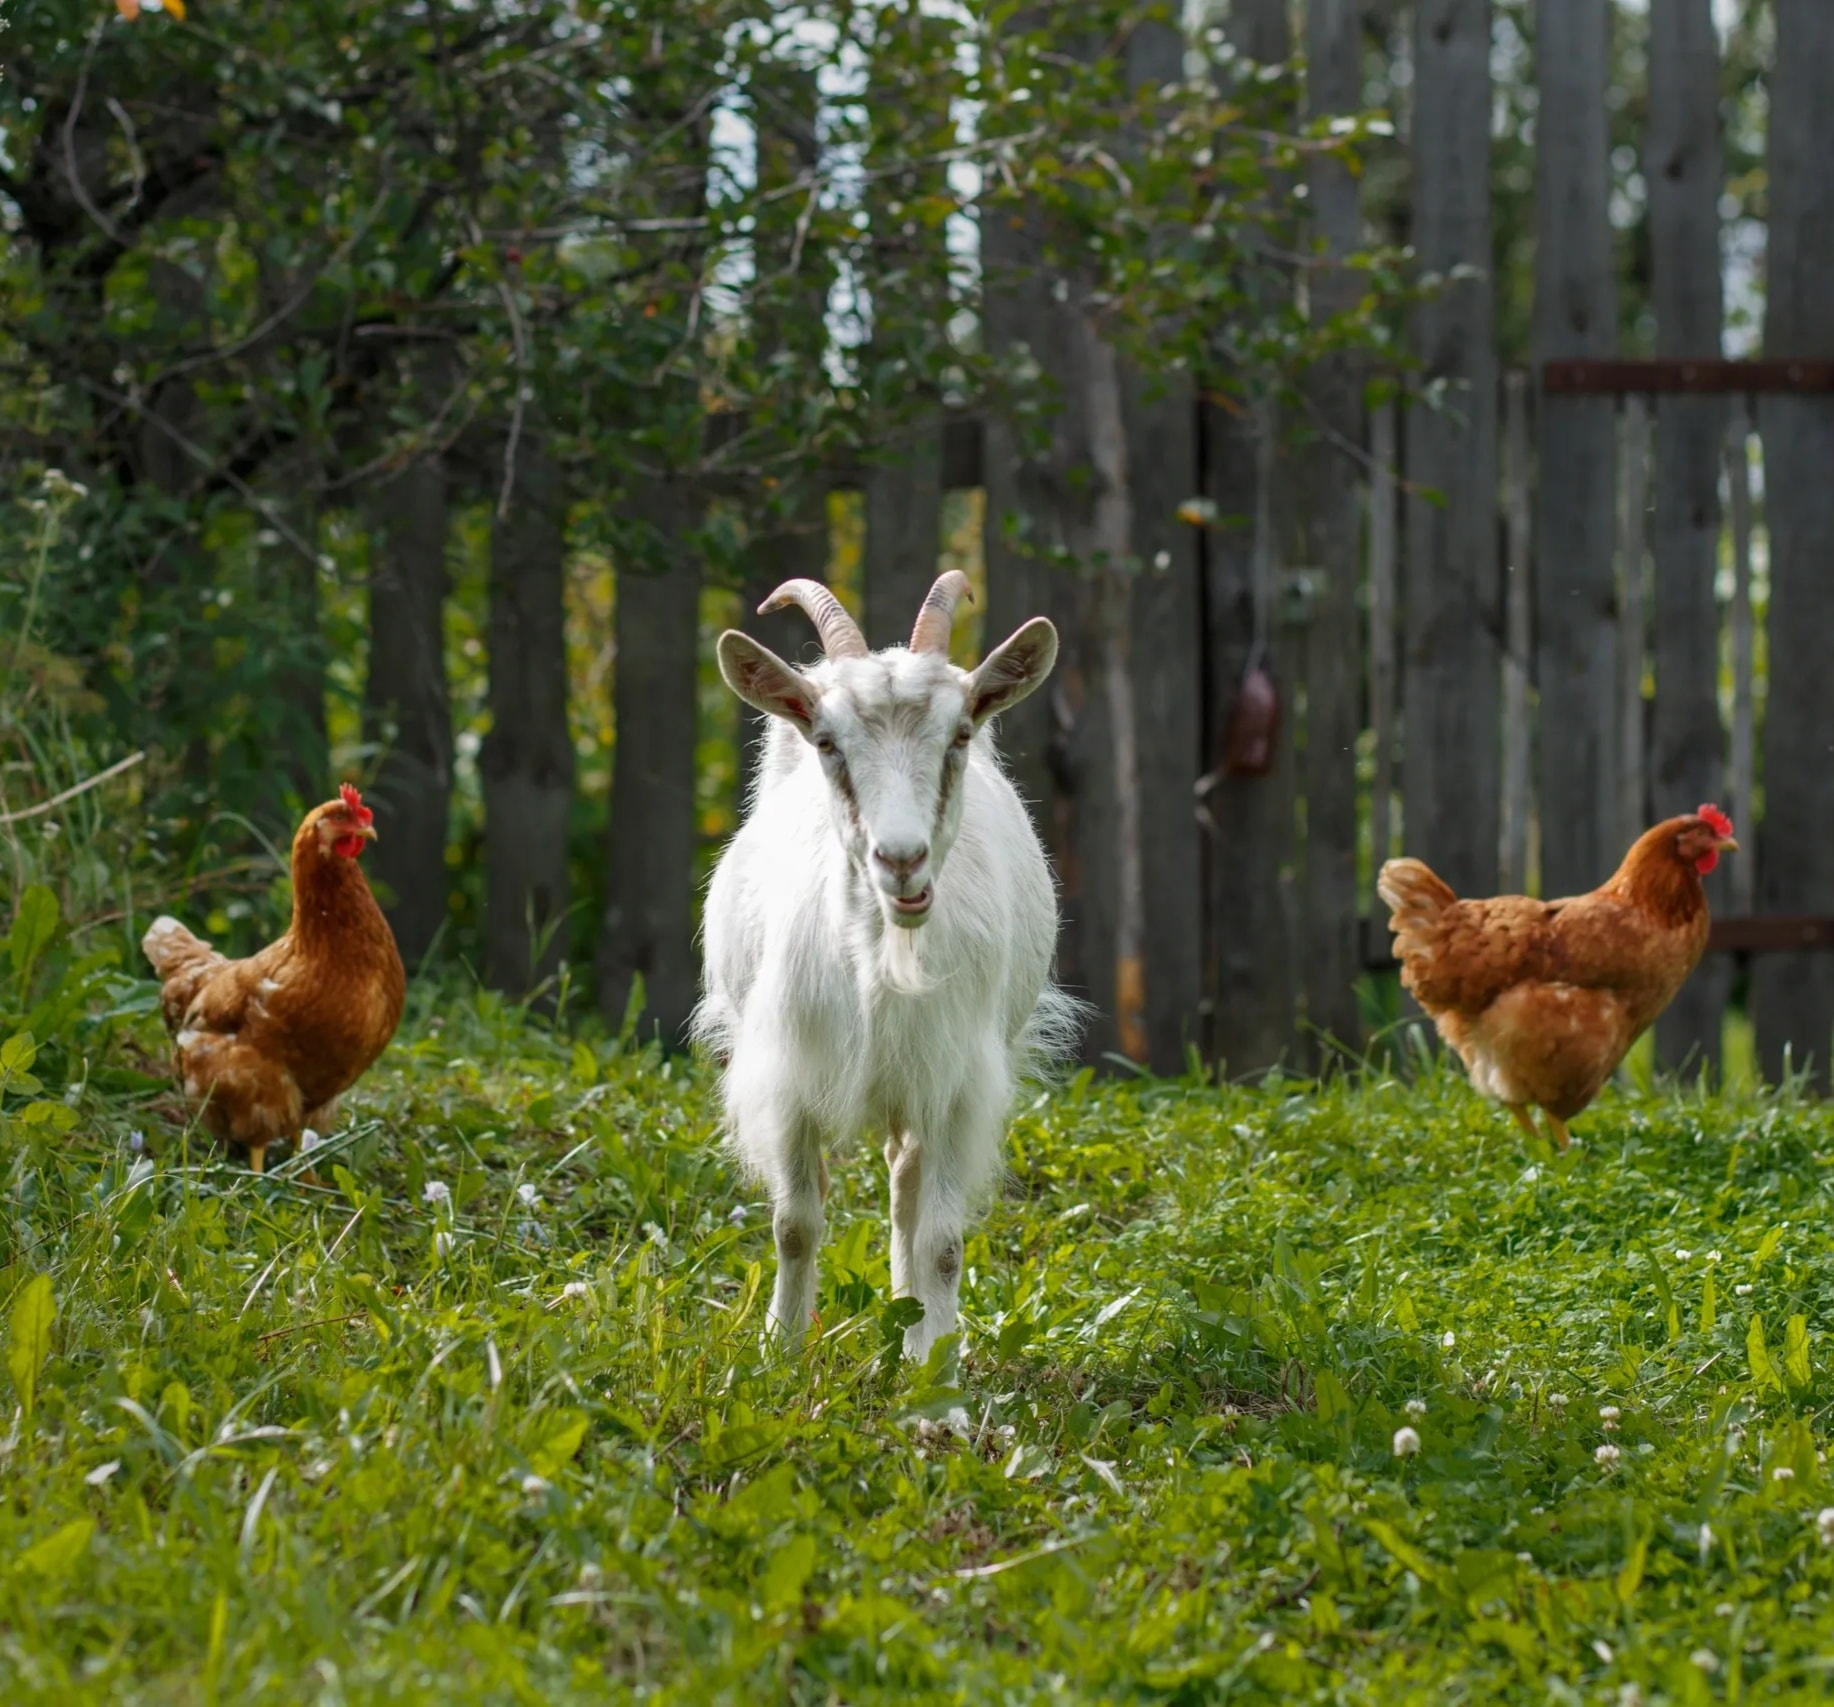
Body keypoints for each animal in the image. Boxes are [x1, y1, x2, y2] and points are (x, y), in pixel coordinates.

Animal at [695, 572, 1077, 1363]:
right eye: (827, 741)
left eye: (960, 734)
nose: (901, 860)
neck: (884, 962)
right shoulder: (790, 1072)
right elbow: (795, 1224)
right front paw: (780, 1355)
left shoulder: (956, 1081)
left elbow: (941, 1242)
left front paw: (940, 1377)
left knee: (905, 1191)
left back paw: (912, 1326)